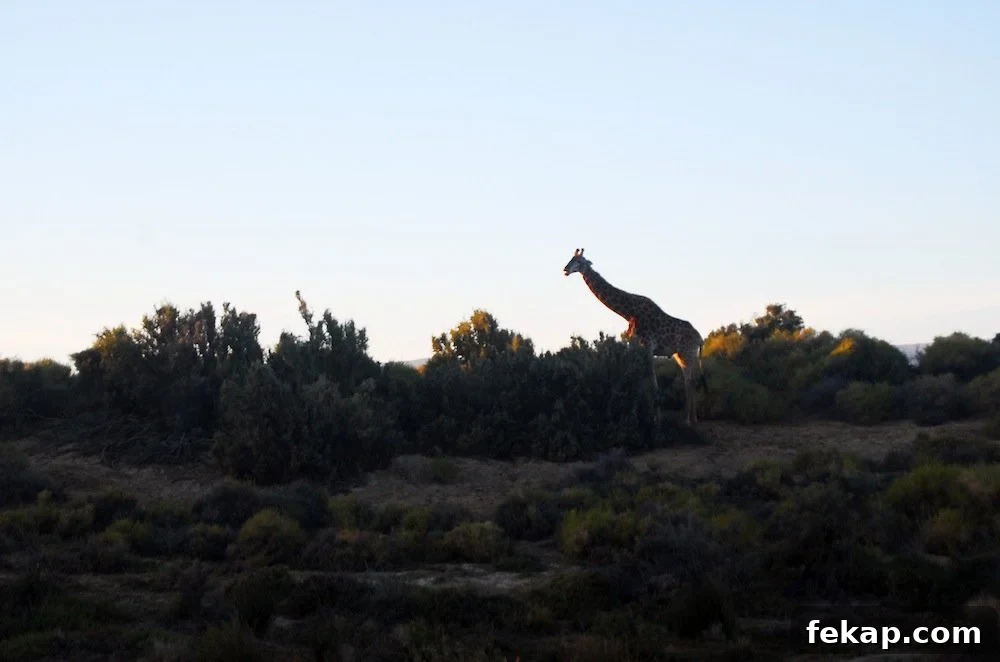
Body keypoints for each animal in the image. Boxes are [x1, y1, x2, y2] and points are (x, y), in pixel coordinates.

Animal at [563, 248, 708, 425]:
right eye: (570, 259)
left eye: (579, 261)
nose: (565, 269)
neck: (629, 312)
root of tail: (700, 339)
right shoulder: (635, 345)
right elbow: (636, 379)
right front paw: (638, 415)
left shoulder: (647, 346)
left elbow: (652, 383)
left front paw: (656, 419)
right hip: (682, 355)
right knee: (690, 380)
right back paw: (693, 418)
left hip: (687, 353)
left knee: (689, 381)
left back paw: (688, 420)